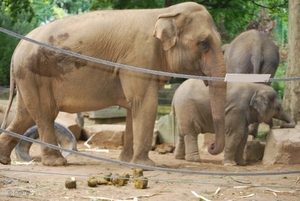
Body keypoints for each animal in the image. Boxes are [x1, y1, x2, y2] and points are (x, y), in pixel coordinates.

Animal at [0, 2, 226, 166]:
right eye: (204, 43)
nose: (212, 146)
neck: (165, 12)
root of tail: (17, 47)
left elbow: (133, 108)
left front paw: (126, 161)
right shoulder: (138, 59)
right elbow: (145, 104)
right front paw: (146, 165)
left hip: (28, 77)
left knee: (26, 115)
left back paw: (4, 160)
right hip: (34, 74)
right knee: (45, 114)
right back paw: (56, 163)